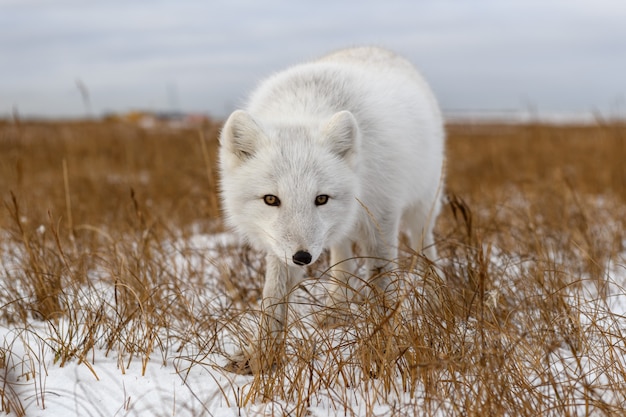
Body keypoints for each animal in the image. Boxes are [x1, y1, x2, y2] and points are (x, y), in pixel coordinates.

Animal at [219, 46, 444, 370]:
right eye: (271, 200)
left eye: (321, 198)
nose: (302, 257)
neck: (303, 109)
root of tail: (377, 48)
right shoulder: (281, 250)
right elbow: (272, 297)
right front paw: (260, 356)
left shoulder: (382, 216)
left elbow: (381, 282)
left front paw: (384, 345)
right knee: (342, 261)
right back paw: (336, 309)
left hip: (422, 208)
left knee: (425, 246)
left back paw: (437, 291)